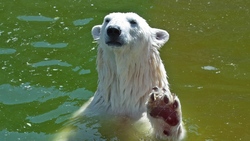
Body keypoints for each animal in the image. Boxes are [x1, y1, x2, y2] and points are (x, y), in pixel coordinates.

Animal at [56, 12, 186, 141]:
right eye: (107, 20)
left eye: (133, 21)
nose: (113, 30)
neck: (123, 102)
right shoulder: (92, 115)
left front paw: (164, 111)